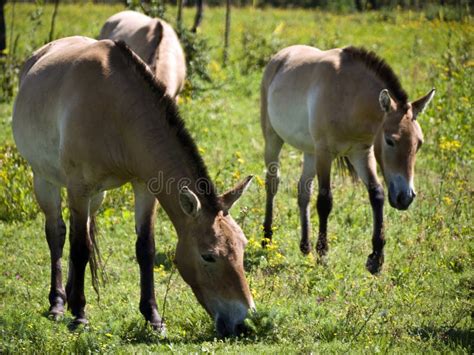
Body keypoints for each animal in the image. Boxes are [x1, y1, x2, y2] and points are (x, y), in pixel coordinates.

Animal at [12, 36, 254, 340]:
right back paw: (58, 303)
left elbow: (144, 249)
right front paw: (79, 315)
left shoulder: (144, 187)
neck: (116, 110)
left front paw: (153, 317)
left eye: (242, 247)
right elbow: (79, 248)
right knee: (57, 233)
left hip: (97, 196)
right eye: (208, 256)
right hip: (45, 180)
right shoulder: (78, 188)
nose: (243, 322)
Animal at [262, 44, 436, 274]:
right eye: (390, 141)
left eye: (419, 143)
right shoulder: (325, 153)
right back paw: (267, 239)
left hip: (310, 152)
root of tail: (280, 56)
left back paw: (305, 246)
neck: (349, 95)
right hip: (273, 138)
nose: (405, 197)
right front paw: (323, 253)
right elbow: (325, 201)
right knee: (272, 184)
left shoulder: (361, 153)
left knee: (303, 190)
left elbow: (377, 194)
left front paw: (376, 258)